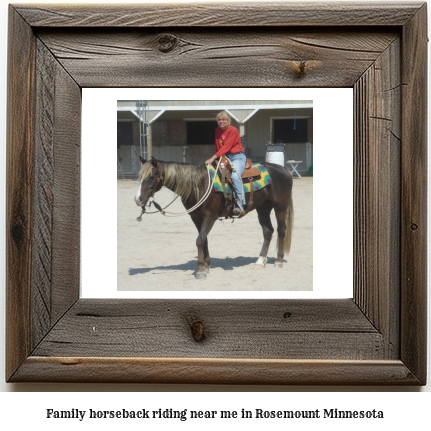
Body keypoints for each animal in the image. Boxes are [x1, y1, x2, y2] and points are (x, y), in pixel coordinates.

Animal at [135, 157, 294, 282]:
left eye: (151, 177)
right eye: (140, 177)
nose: (138, 200)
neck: (199, 184)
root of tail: (283, 169)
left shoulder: (210, 216)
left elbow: (199, 240)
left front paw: (200, 270)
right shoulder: (196, 217)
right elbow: (203, 239)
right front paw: (206, 265)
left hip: (280, 206)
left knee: (281, 230)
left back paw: (279, 260)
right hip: (263, 208)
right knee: (268, 231)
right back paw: (260, 261)